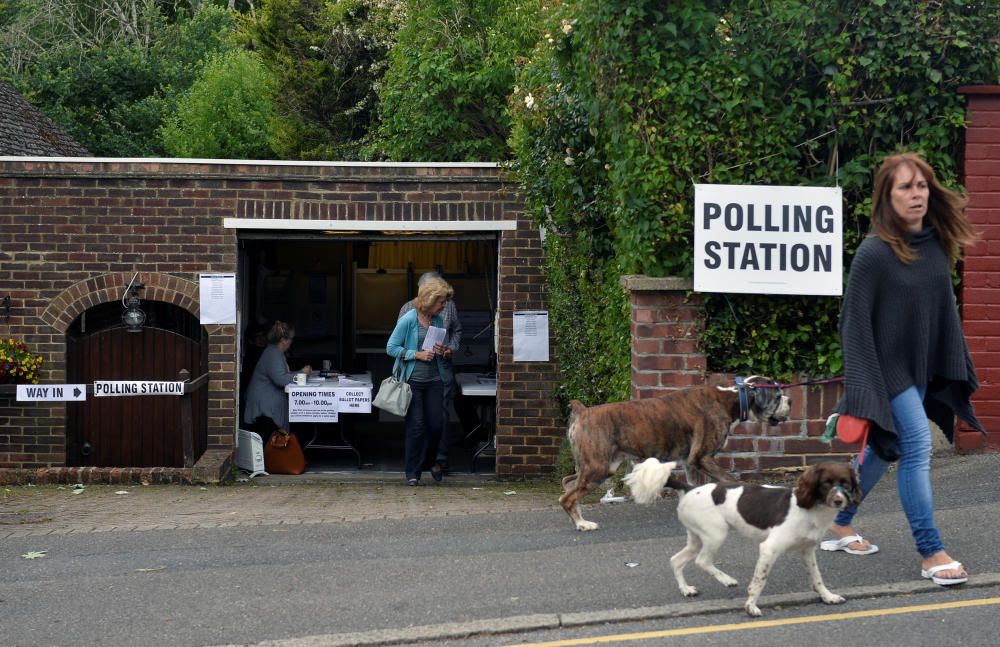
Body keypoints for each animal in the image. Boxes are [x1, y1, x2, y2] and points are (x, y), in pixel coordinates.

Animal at [560, 380, 784, 532]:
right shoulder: (702, 458)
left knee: (568, 482)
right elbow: (729, 479)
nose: (789, 400)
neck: (730, 398)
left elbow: (693, 487)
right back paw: (582, 524)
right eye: (778, 396)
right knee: (567, 497)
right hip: (598, 469)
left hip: (593, 467)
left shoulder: (691, 464)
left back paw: (578, 519)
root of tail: (583, 411)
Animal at [624, 458, 860, 616]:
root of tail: (689, 487)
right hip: (716, 534)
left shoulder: (807, 550)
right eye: (826, 483)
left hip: (697, 538)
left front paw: (827, 597)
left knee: (676, 560)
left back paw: (686, 589)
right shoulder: (769, 549)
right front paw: (751, 606)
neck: (810, 509)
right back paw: (727, 580)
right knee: (702, 561)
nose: (839, 500)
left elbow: (817, 577)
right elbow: (759, 581)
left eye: (845, 483)